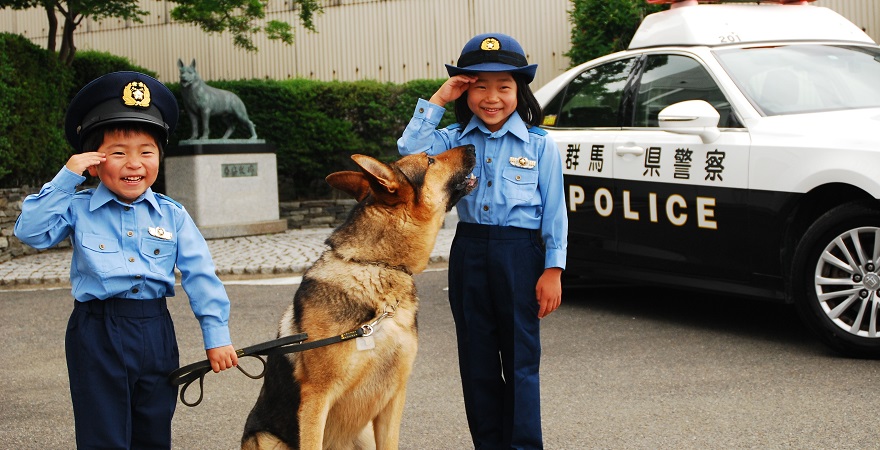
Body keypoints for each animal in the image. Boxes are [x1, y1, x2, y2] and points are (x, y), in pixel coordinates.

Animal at [239, 146, 474, 448]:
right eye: (430, 160)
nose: (472, 146)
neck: (377, 267)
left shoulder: (393, 399)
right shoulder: (316, 398)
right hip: (267, 438)